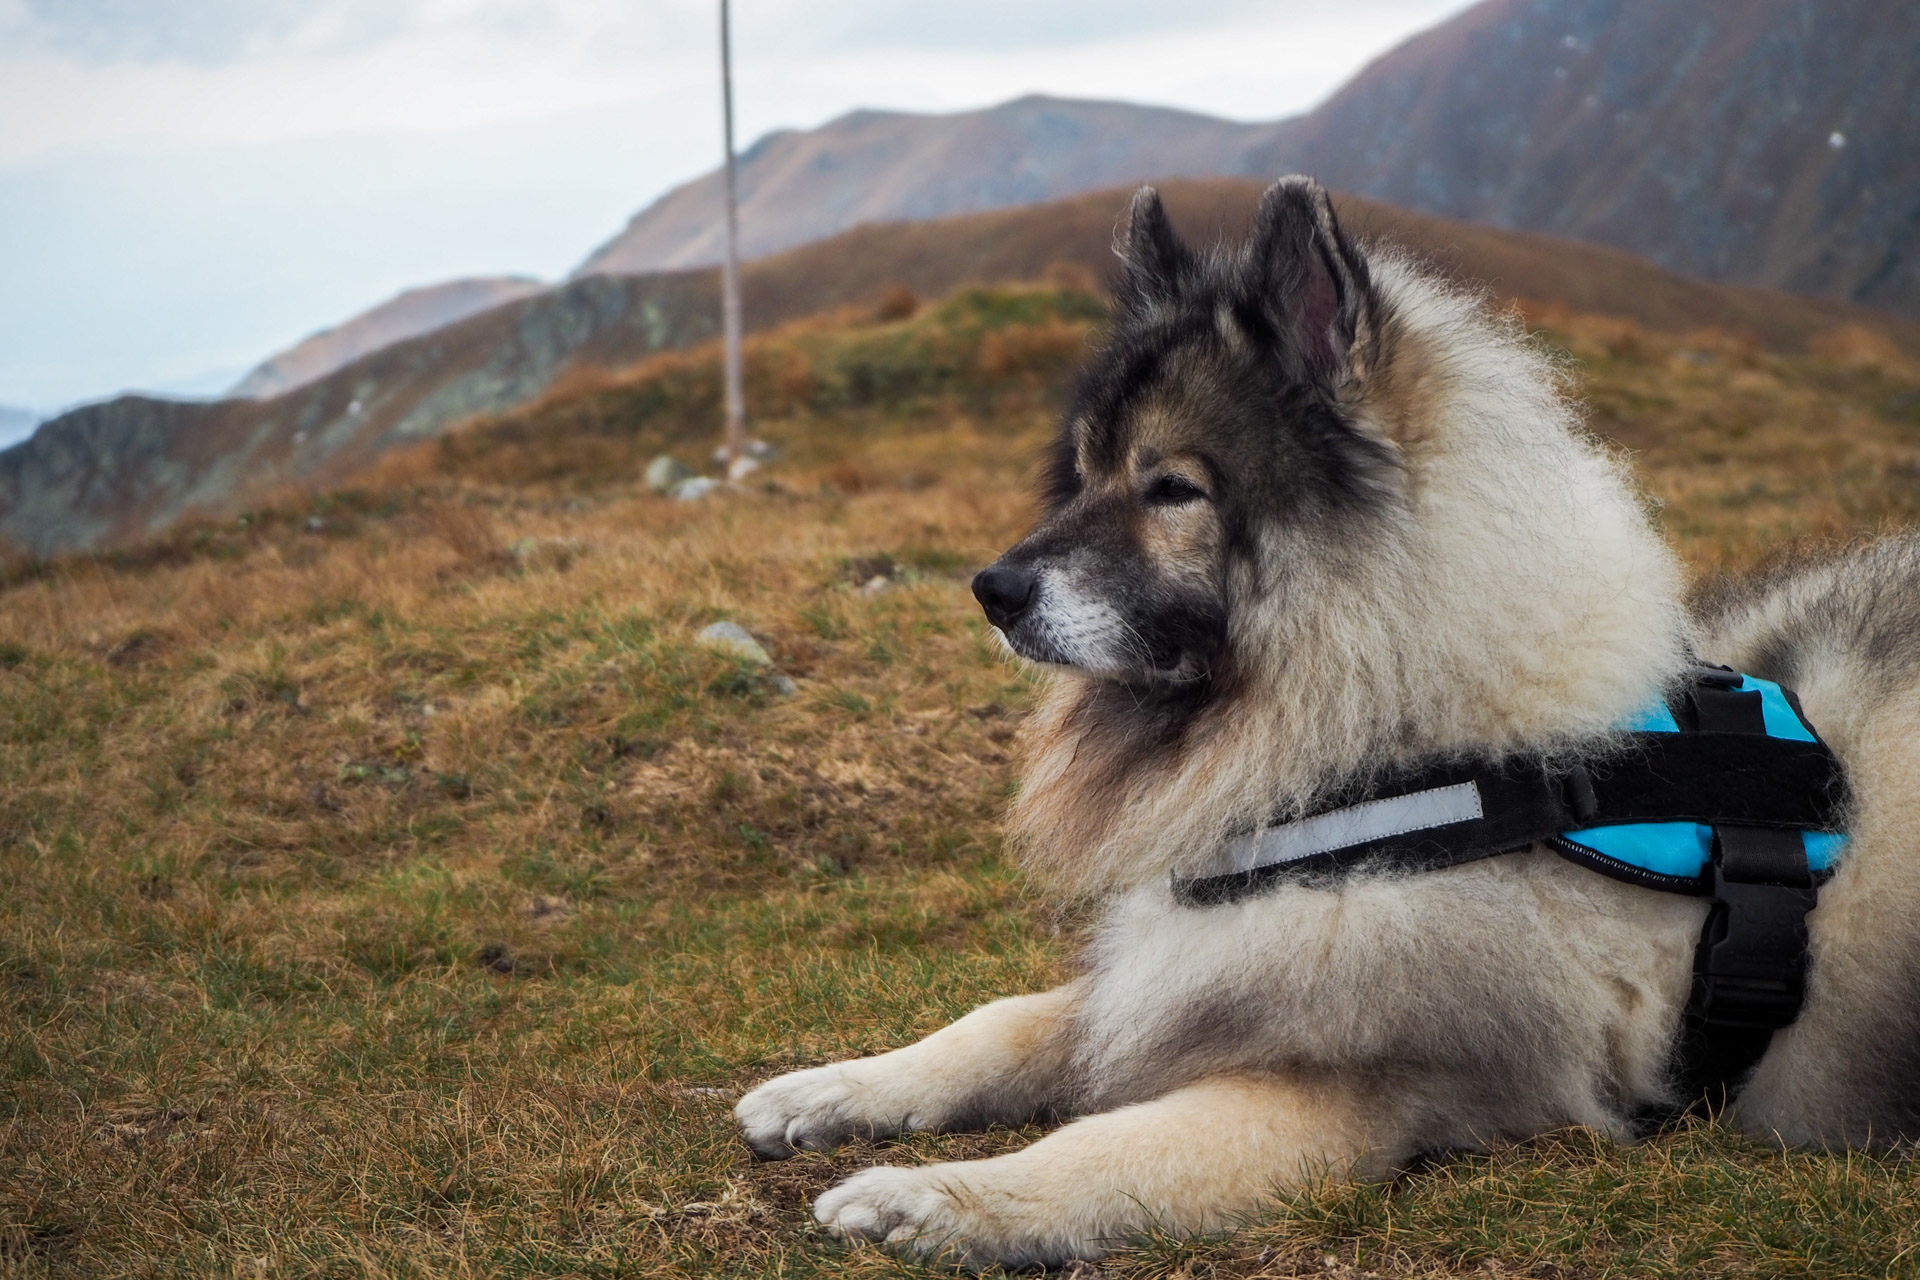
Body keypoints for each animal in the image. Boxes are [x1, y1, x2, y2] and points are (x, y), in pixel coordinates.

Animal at [729, 180, 1920, 1274]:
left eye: (1172, 488)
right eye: (1086, 473)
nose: (991, 590)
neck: (1403, 751)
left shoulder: (1346, 1086)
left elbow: (1106, 1148)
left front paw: (930, 1196)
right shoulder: (1192, 966)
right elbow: (1006, 1018)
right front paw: (834, 1086)